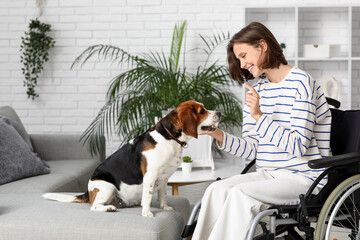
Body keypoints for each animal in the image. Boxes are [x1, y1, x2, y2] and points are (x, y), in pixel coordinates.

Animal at [43, 100, 221, 217]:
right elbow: (148, 196)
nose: (219, 113)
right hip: (107, 187)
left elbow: (163, 194)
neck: (169, 138)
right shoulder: (150, 176)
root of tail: (88, 192)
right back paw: (108, 208)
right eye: (202, 111)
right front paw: (147, 213)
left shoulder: (164, 178)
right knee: (94, 206)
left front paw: (165, 208)